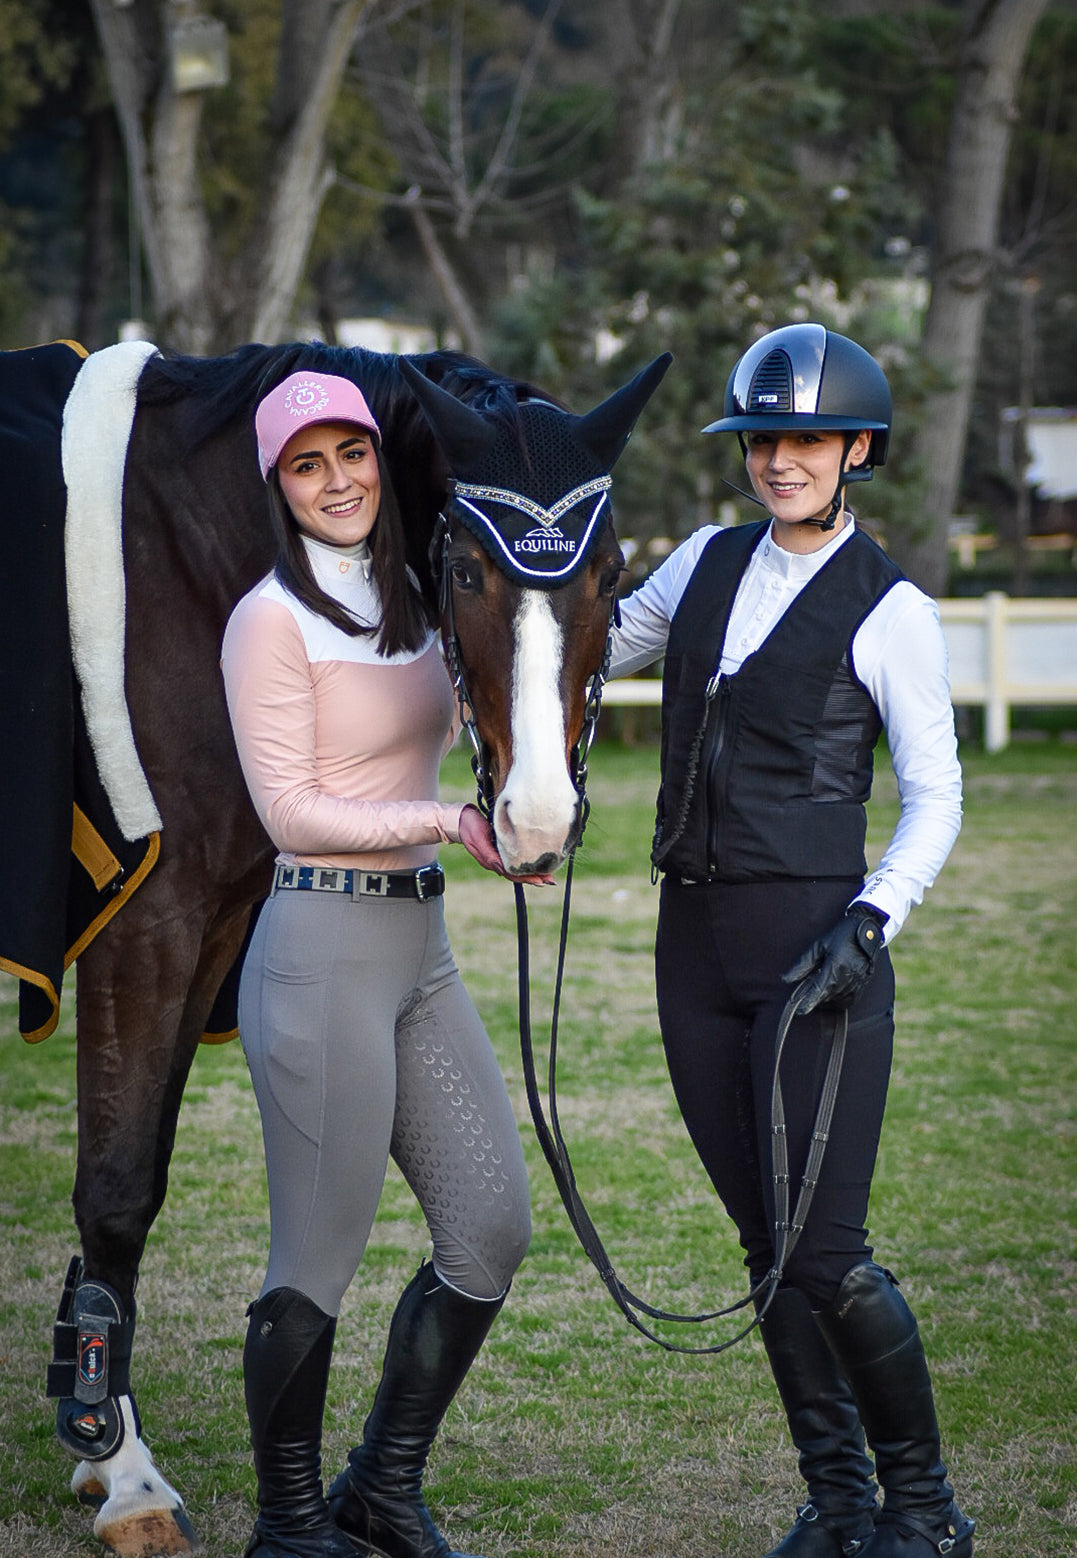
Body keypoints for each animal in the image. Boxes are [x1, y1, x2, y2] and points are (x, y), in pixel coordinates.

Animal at [3, 335, 669, 1554]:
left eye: (609, 575)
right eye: (467, 574)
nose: (537, 822)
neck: (194, 548)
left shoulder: (221, 915)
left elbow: (144, 1166)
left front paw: (92, 1431)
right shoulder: (151, 915)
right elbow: (116, 1186)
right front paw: (124, 1476)